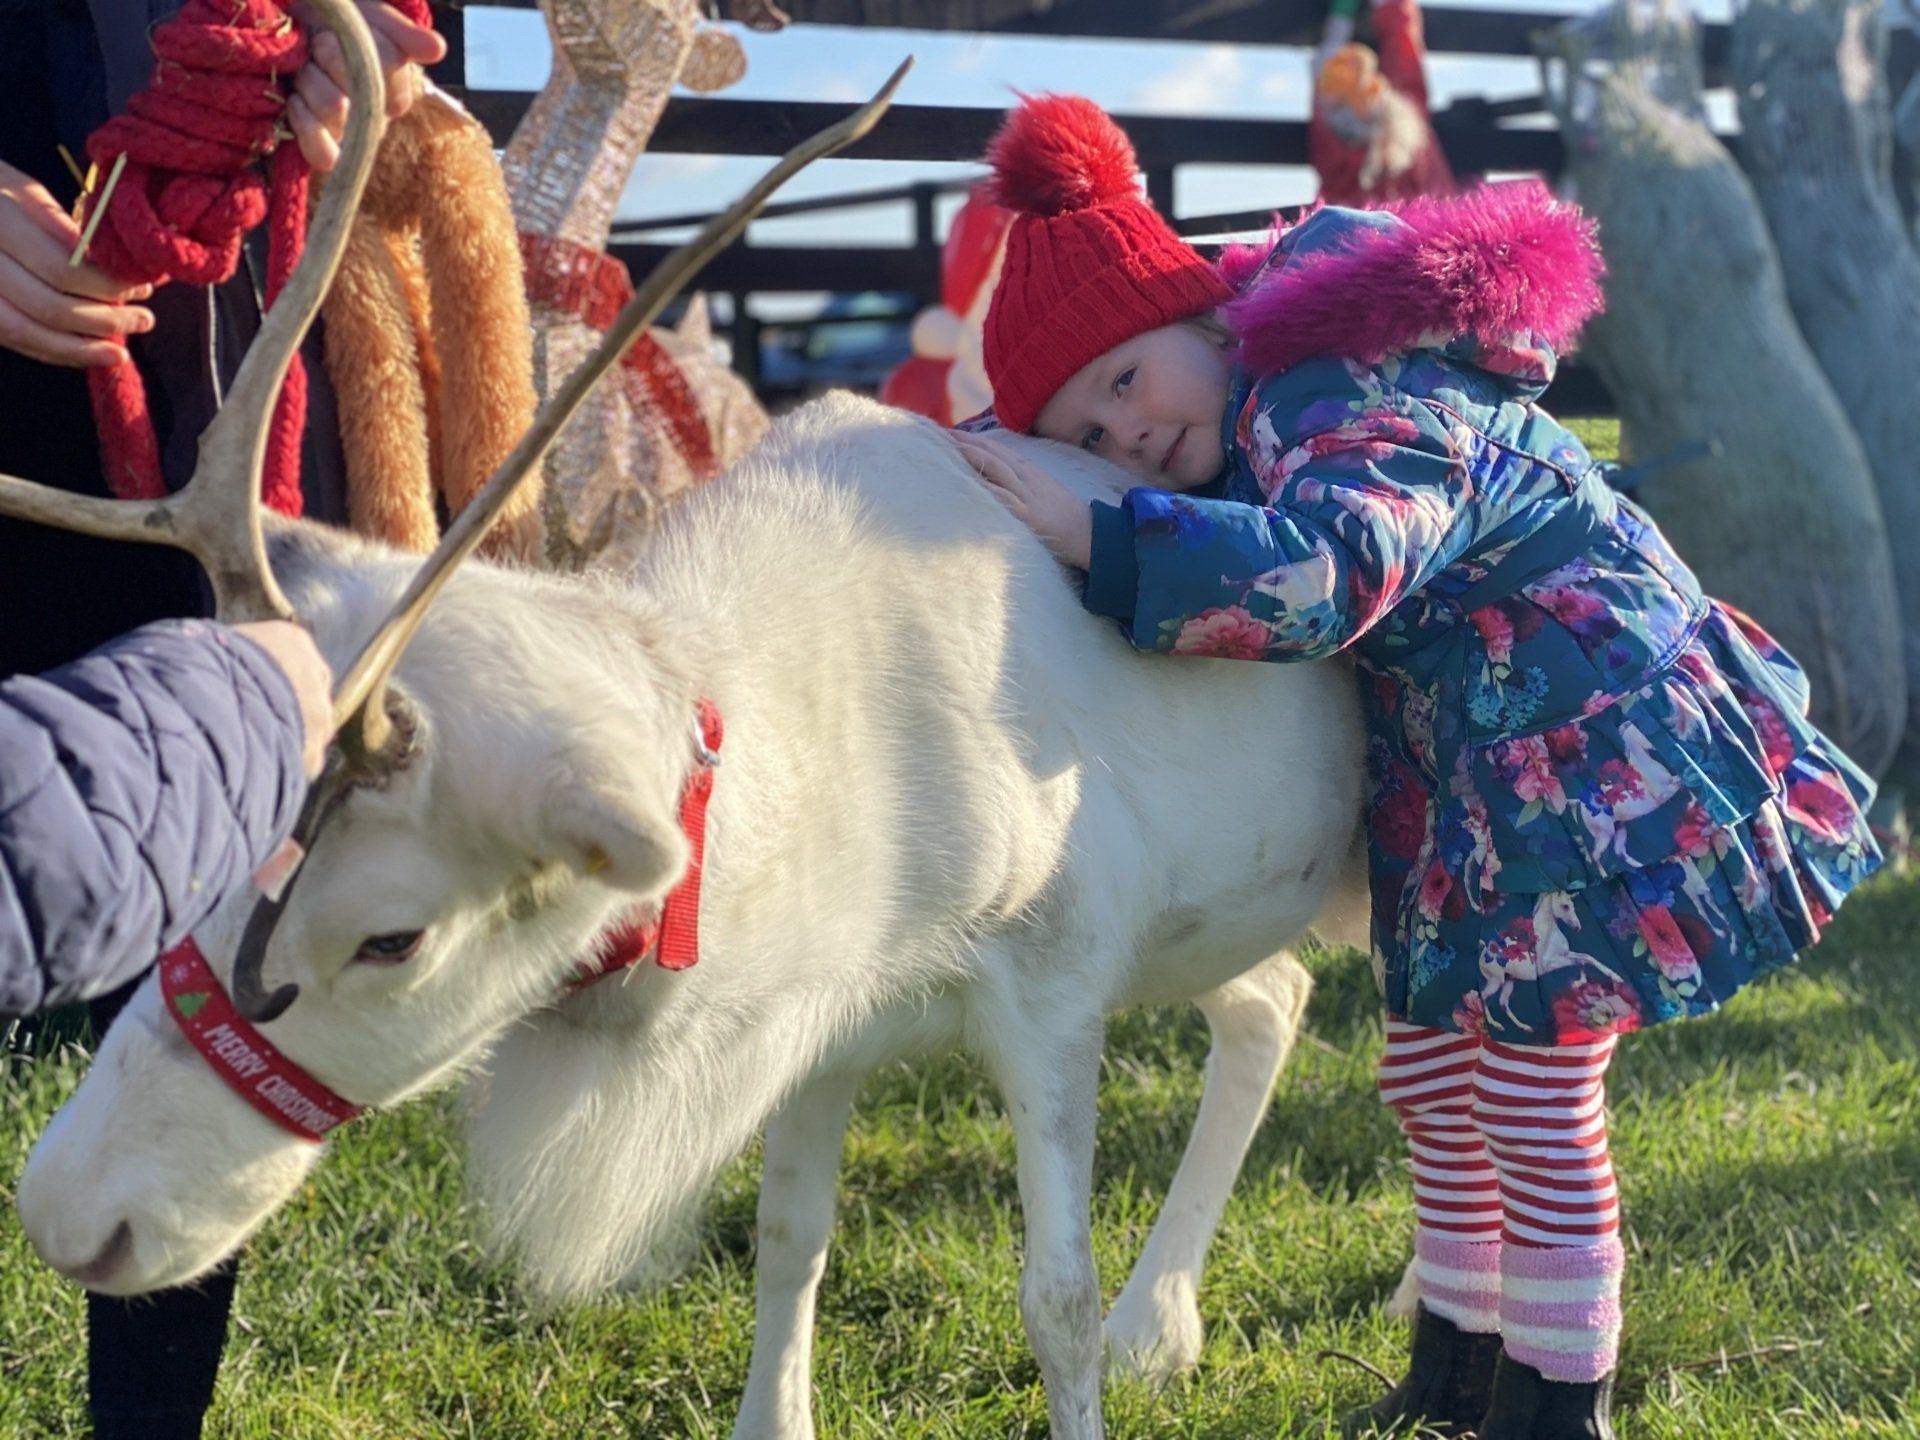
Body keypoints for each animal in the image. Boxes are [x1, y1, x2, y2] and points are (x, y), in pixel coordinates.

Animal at [2, 12, 1371, 1438]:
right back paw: (1166, 1323)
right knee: (1273, 997)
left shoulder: (1054, 974)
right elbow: (788, 1240)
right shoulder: (831, 1014)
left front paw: (1088, 1336)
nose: (68, 1218)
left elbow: (1052, 1297)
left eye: (394, 938)